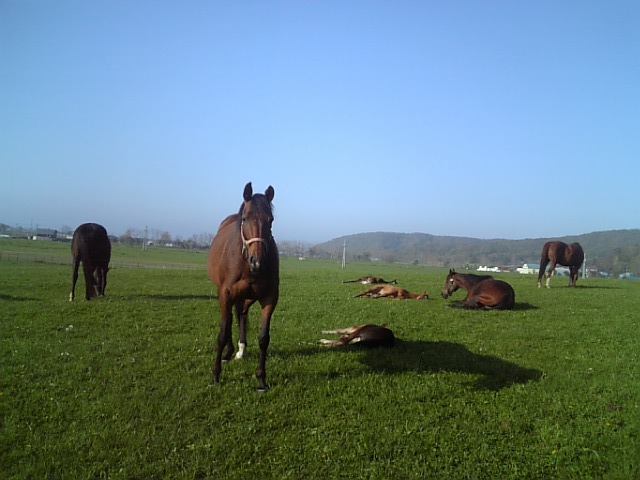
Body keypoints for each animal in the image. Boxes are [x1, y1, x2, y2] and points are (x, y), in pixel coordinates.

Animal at [208, 182, 278, 392]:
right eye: (245, 218)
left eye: (270, 219)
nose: (257, 262)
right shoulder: (225, 294)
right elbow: (222, 333)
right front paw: (215, 375)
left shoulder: (269, 298)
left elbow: (263, 338)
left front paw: (261, 380)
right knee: (232, 318)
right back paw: (229, 352)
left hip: (247, 297)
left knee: (240, 315)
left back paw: (240, 350)